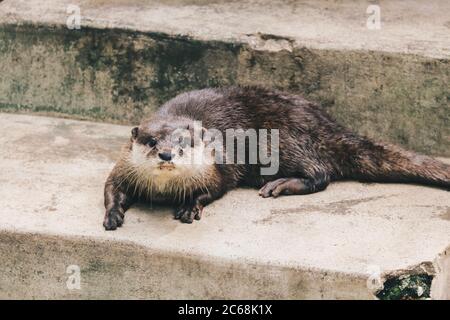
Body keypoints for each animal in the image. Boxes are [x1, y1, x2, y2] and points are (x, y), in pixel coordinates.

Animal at [103, 85, 450, 230]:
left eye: (183, 142)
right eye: (151, 141)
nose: (165, 153)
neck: (164, 190)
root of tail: (328, 125)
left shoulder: (218, 168)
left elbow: (214, 189)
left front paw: (189, 206)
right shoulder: (123, 168)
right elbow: (111, 188)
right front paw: (113, 215)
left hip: (281, 142)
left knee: (321, 174)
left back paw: (280, 185)